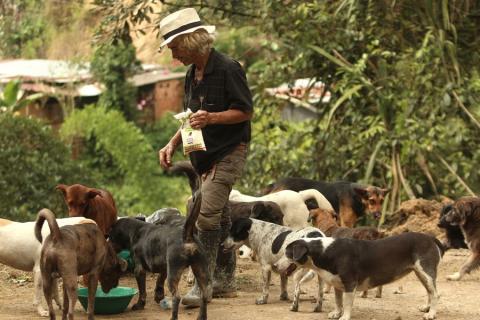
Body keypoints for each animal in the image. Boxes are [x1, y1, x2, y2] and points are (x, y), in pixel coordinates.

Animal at [109, 192, 208, 320]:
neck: (135, 230)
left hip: (174, 273)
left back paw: (173, 317)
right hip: (200, 270)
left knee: (176, 297)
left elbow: (142, 291)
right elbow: (160, 279)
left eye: (111, 236)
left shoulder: (139, 270)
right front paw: (158, 295)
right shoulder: (164, 266)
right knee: (204, 296)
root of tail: (187, 236)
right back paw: (201, 317)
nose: (106, 243)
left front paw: (139, 305)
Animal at [278, 232, 446, 320]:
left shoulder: (349, 283)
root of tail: (430, 237)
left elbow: (347, 303)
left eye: (287, 254)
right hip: (421, 273)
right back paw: (426, 308)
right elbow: (338, 301)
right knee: (430, 292)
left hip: (425, 271)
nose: (275, 266)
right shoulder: (337, 283)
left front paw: (344, 317)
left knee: (435, 294)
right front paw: (336, 313)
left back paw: (431, 314)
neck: (324, 251)